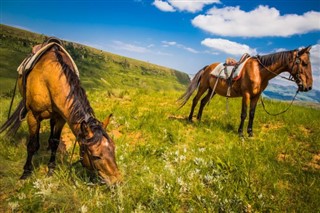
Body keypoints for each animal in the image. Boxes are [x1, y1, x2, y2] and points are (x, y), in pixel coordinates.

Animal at [0, 38, 121, 185]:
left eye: (113, 149)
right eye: (96, 156)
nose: (117, 181)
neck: (48, 78)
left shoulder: (61, 118)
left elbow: (55, 142)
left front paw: (51, 169)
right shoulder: (33, 116)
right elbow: (32, 145)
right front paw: (26, 172)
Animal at [179, 46, 314, 136]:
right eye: (304, 63)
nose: (308, 87)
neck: (258, 72)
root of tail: (208, 67)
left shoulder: (256, 96)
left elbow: (252, 114)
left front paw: (250, 133)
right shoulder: (246, 94)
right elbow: (244, 113)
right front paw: (240, 133)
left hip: (213, 90)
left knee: (202, 102)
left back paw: (199, 119)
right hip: (203, 87)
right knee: (195, 100)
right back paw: (190, 119)